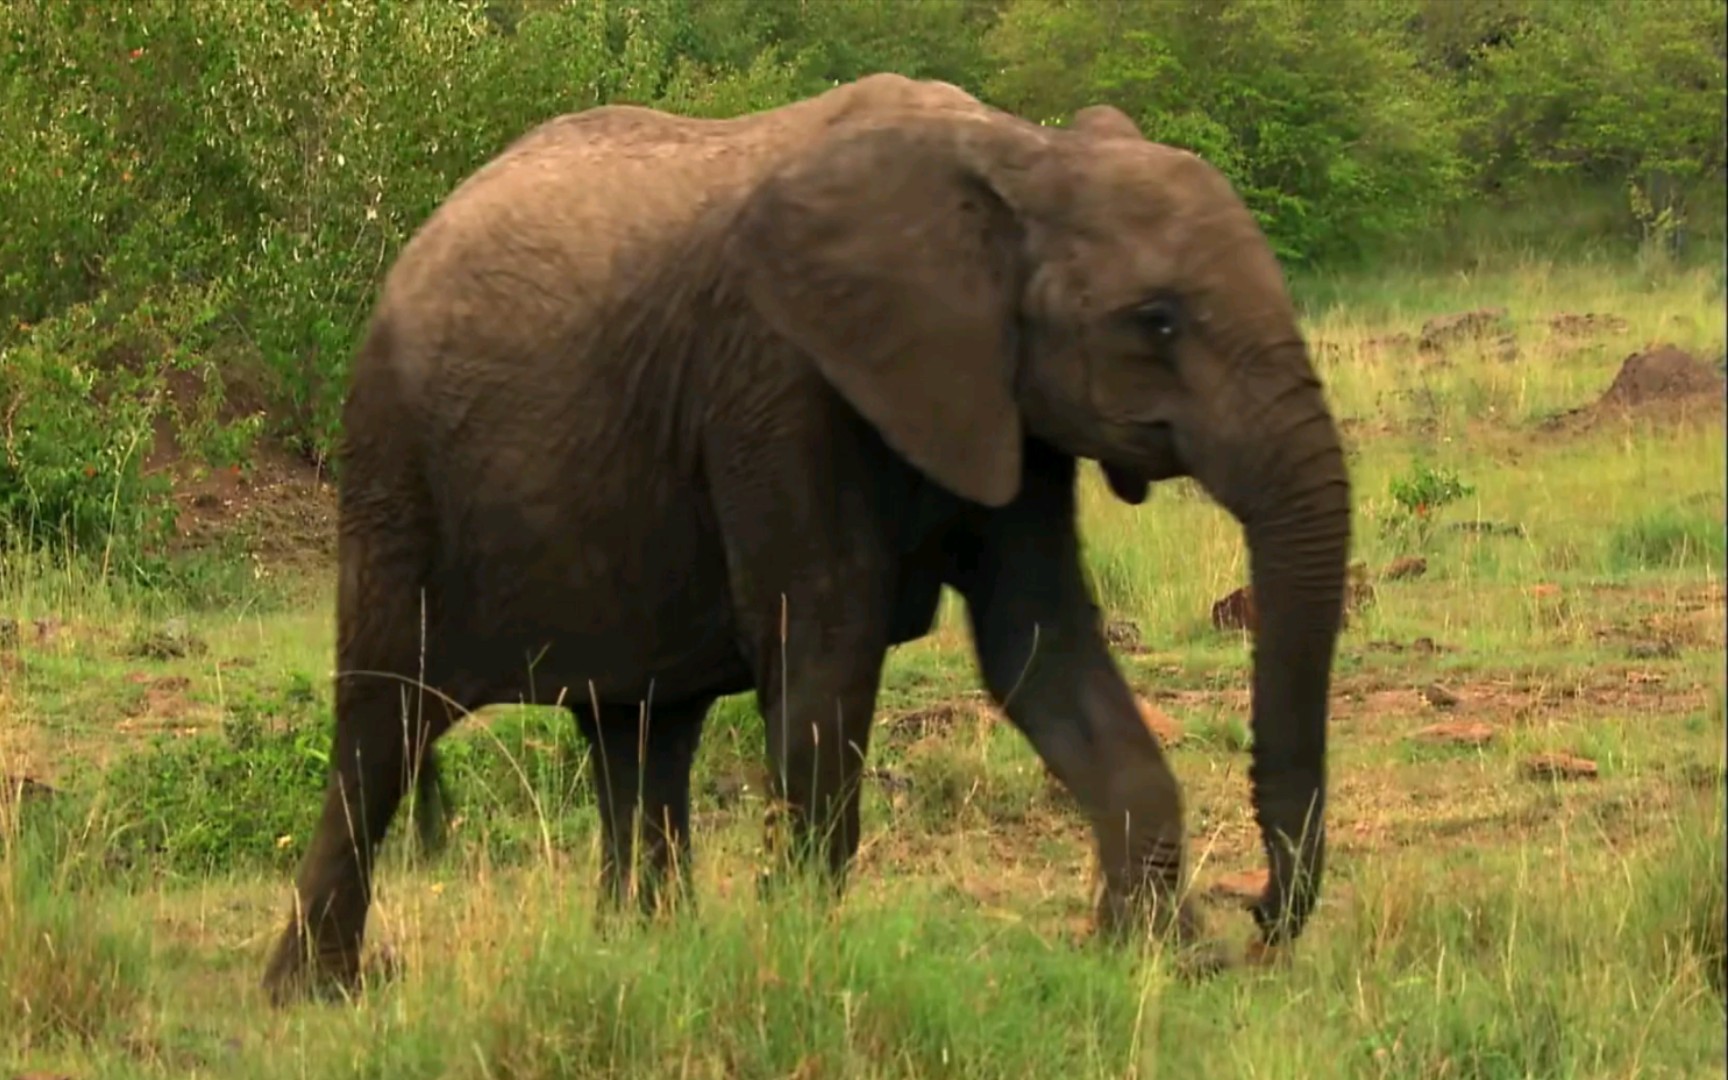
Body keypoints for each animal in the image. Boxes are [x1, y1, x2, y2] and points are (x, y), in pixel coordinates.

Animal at [262, 73, 1354, 1002]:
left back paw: (644, 957)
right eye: (1157, 321)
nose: (1257, 918)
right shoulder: (777, 383)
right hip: (395, 467)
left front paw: (1161, 959)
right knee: (383, 727)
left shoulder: (1005, 399)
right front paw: (801, 958)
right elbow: (828, 639)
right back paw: (317, 993)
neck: (1019, 152)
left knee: (642, 733)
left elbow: (1041, 643)